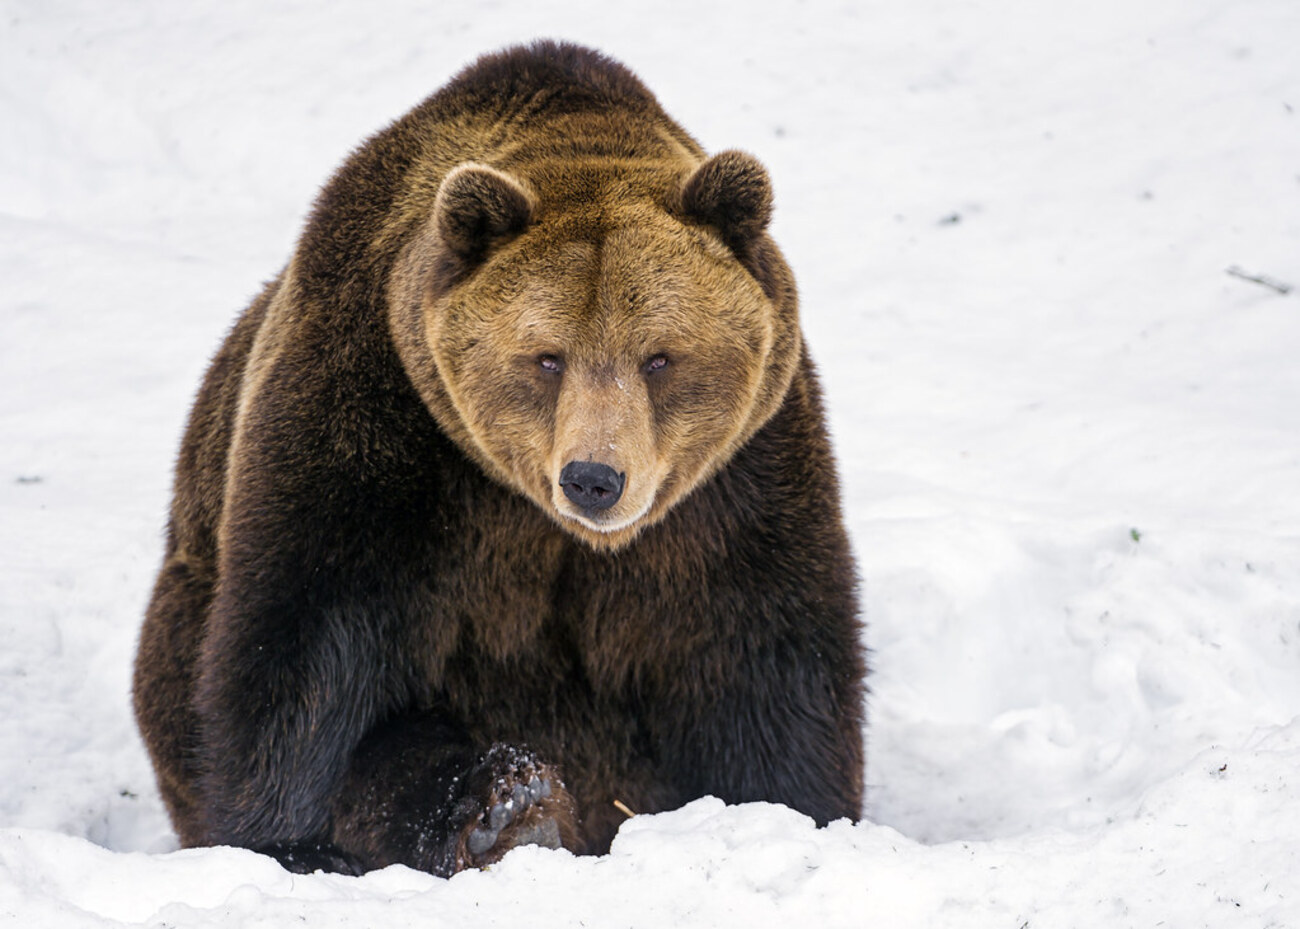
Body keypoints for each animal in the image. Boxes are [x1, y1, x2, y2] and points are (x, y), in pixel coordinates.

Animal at [133, 40, 865, 877]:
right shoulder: (380, 428)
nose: (593, 478)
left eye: (659, 356)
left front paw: (792, 812)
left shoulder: (735, 483)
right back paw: (502, 806)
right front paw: (284, 841)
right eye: (547, 356)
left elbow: (761, 655)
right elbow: (308, 642)